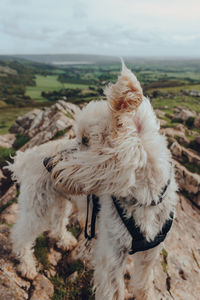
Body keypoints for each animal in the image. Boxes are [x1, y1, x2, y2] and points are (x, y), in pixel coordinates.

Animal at [7, 63, 177, 300]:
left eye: (86, 140)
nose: (47, 163)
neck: (143, 199)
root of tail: (27, 155)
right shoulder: (112, 257)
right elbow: (114, 292)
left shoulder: (149, 255)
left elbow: (144, 285)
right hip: (37, 205)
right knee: (21, 234)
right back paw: (27, 266)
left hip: (60, 200)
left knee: (57, 221)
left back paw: (64, 240)